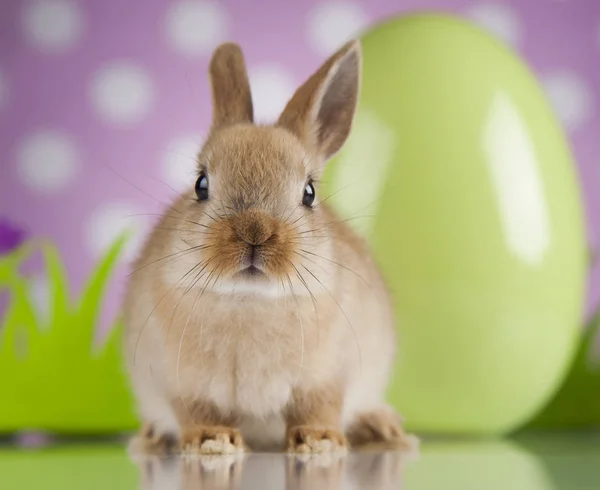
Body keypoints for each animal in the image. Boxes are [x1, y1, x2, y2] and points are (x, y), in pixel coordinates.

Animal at [123, 38, 418, 456]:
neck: (251, 301)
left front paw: (320, 441)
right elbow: (197, 413)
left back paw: (383, 429)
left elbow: (319, 408)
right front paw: (212, 440)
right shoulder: (181, 383)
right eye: (201, 185)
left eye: (309, 193)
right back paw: (150, 438)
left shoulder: (327, 377)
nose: (255, 231)